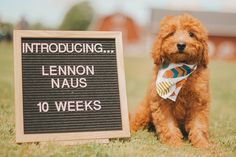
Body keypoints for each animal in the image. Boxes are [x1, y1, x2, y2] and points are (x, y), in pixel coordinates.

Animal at [131, 13, 210, 148]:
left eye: (191, 34)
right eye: (171, 33)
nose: (181, 44)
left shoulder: (198, 102)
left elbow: (199, 125)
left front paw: (203, 144)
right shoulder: (162, 103)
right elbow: (168, 125)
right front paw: (174, 143)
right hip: (144, 111)